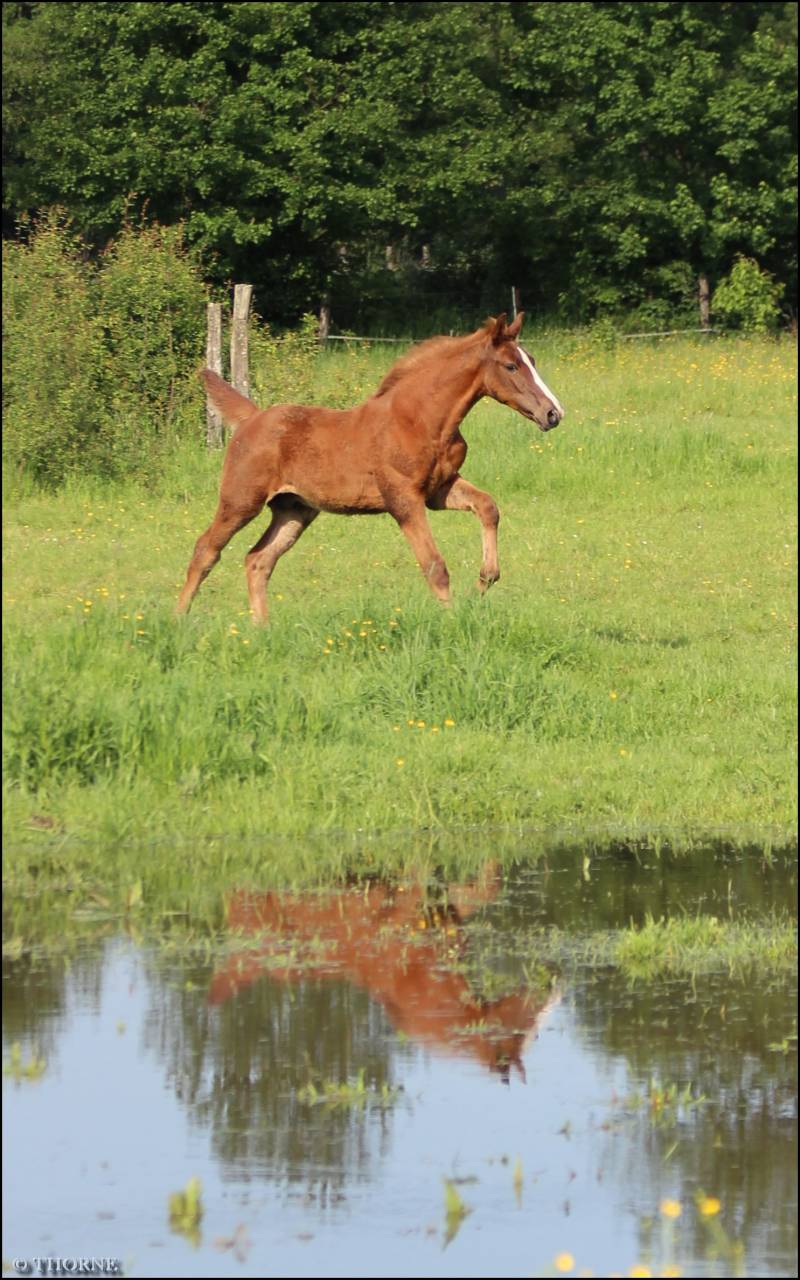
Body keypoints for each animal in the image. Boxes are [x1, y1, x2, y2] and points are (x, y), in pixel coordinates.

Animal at [177, 311, 564, 623]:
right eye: (511, 366)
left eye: (531, 359)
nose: (553, 413)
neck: (422, 420)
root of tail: (251, 419)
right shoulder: (403, 499)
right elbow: (435, 566)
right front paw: (453, 622)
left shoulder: (439, 490)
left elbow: (488, 507)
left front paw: (485, 579)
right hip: (241, 501)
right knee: (206, 549)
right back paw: (178, 620)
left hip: (294, 510)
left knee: (258, 560)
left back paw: (262, 629)